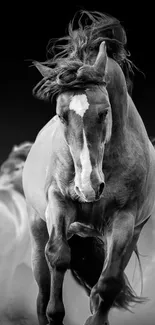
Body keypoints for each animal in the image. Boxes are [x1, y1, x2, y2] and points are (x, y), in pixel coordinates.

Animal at [22, 10, 155, 324]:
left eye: (104, 112)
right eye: (61, 115)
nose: (88, 187)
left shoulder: (124, 220)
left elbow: (107, 285)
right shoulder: (58, 203)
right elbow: (58, 256)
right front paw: (55, 314)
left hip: (132, 232)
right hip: (37, 228)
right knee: (42, 289)